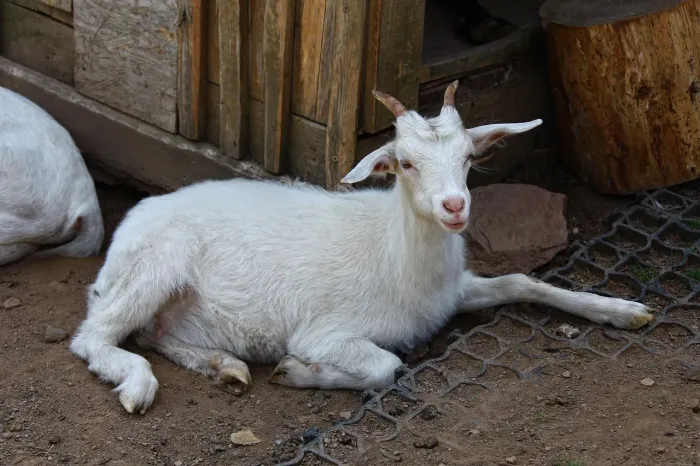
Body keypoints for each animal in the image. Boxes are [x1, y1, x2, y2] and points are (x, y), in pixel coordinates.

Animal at [70, 82, 653, 415]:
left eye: (469, 157)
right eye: (405, 163)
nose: (454, 206)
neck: (397, 255)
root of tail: (133, 221)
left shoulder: (452, 291)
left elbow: (522, 279)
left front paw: (623, 310)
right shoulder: (326, 332)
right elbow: (385, 367)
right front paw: (298, 372)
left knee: (154, 335)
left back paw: (223, 366)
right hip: (153, 269)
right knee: (94, 336)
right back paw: (138, 385)